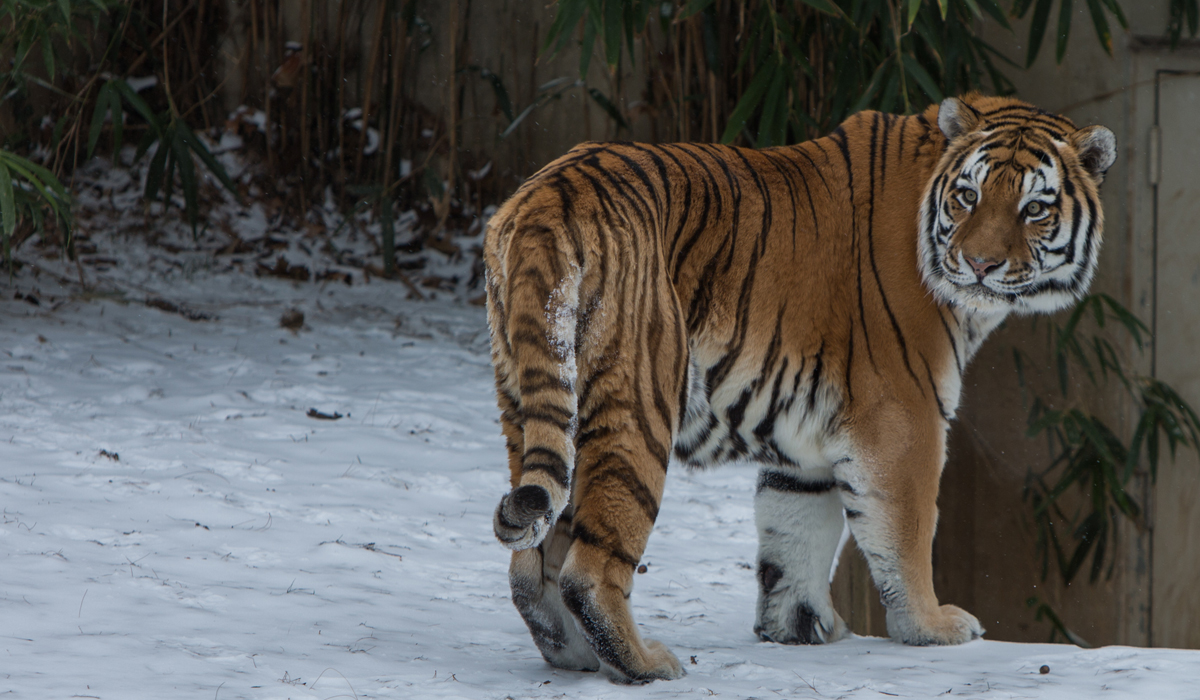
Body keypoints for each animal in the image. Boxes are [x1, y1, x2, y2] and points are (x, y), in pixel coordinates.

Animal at [477, 94, 1113, 686]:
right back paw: (643, 663)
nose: (979, 264)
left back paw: (575, 655)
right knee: (589, 566)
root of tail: (547, 196)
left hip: (528, 396)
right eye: (968, 197)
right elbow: (906, 534)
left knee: (531, 563)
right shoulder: (903, 417)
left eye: (1033, 209)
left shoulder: (806, 440)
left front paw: (798, 627)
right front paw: (931, 626)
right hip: (640, 404)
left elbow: (795, 534)